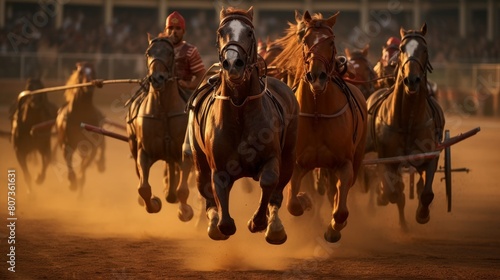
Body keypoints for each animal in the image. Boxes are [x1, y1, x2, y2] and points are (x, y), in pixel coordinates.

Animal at [54, 61, 105, 192]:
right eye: (81, 71)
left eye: (94, 71)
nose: (90, 83)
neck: (81, 113)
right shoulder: (66, 144)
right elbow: (68, 162)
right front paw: (72, 182)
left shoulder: (91, 146)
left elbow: (85, 165)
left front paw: (80, 179)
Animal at [125, 33, 193, 221]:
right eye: (148, 52)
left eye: (170, 53)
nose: (157, 78)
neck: (164, 111)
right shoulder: (144, 151)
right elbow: (143, 187)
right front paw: (153, 203)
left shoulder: (184, 152)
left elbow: (183, 188)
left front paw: (185, 210)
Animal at [188, 5, 296, 244]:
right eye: (221, 31)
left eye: (249, 32)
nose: (232, 64)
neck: (239, 107)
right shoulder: (217, 165)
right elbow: (224, 216)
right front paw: (219, 224)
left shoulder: (272, 157)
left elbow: (269, 180)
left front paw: (259, 222)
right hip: (198, 159)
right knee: (204, 188)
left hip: (290, 155)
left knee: (278, 190)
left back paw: (275, 226)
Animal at [274, 10, 368, 243]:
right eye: (305, 39)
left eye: (331, 42)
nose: (317, 76)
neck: (317, 113)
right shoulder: (297, 163)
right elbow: (293, 203)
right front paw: (304, 201)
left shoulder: (344, 164)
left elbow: (341, 206)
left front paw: (334, 227)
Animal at [364, 23, 446, 230]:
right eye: (402, 49)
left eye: (425, 49)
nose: (412, 79)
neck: (408, 120)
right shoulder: (388, 159)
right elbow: (394, 193)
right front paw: (385, 196)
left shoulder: (430, 155)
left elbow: (426, 192)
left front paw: (422, 214)